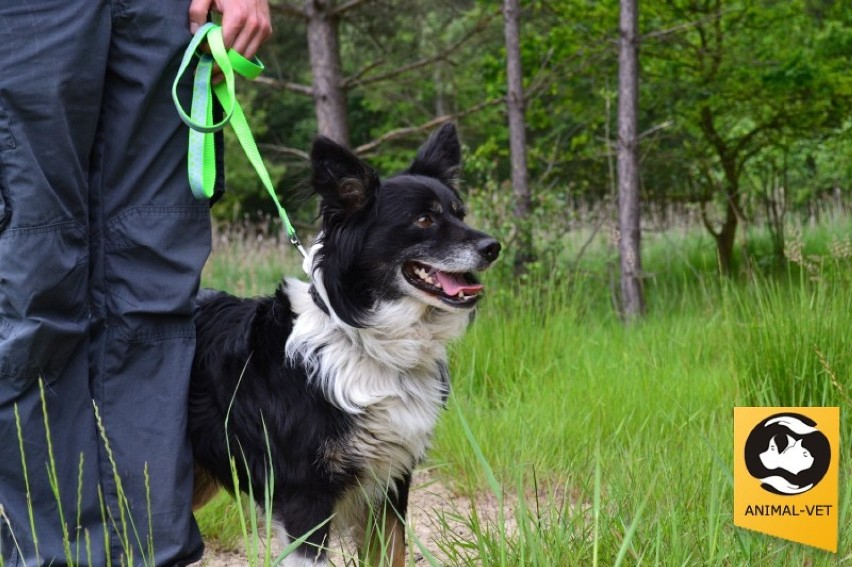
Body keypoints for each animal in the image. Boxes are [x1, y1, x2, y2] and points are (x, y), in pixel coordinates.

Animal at [188, 122, 500, 564]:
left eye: (460, 214)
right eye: (423, 219)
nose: (493, 247)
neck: (368, 344)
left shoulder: (391, 483)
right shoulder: (304, 498)